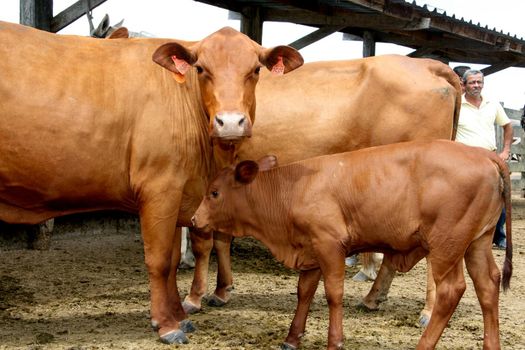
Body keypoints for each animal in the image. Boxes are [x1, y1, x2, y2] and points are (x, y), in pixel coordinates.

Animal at [0, 21, 300, 344]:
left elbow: (173, 260)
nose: (230, 123)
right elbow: (159, 260)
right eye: (200, 68)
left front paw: (179, 316)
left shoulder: (179, 193)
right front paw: (167, 325)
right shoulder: (160, 189)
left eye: (255, 69)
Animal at [182, 54, 460, 322]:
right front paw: (221, 290)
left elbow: (203, 240)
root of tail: (426, 64)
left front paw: (194, 296)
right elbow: (220, 238)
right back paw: (373, 297)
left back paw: (428, 310)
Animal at [192, 140, 512, 350]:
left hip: (447, 245)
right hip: (477, 242)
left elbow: (333, 294)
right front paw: (292, 338)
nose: (194, 220)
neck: (292, 188)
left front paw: (335, 341)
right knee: (487, 284)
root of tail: (483, 153)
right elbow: (304, 292)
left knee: (450, 290)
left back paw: (423, 344)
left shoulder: (329, 245)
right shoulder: (311, 250)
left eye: (214, 193)